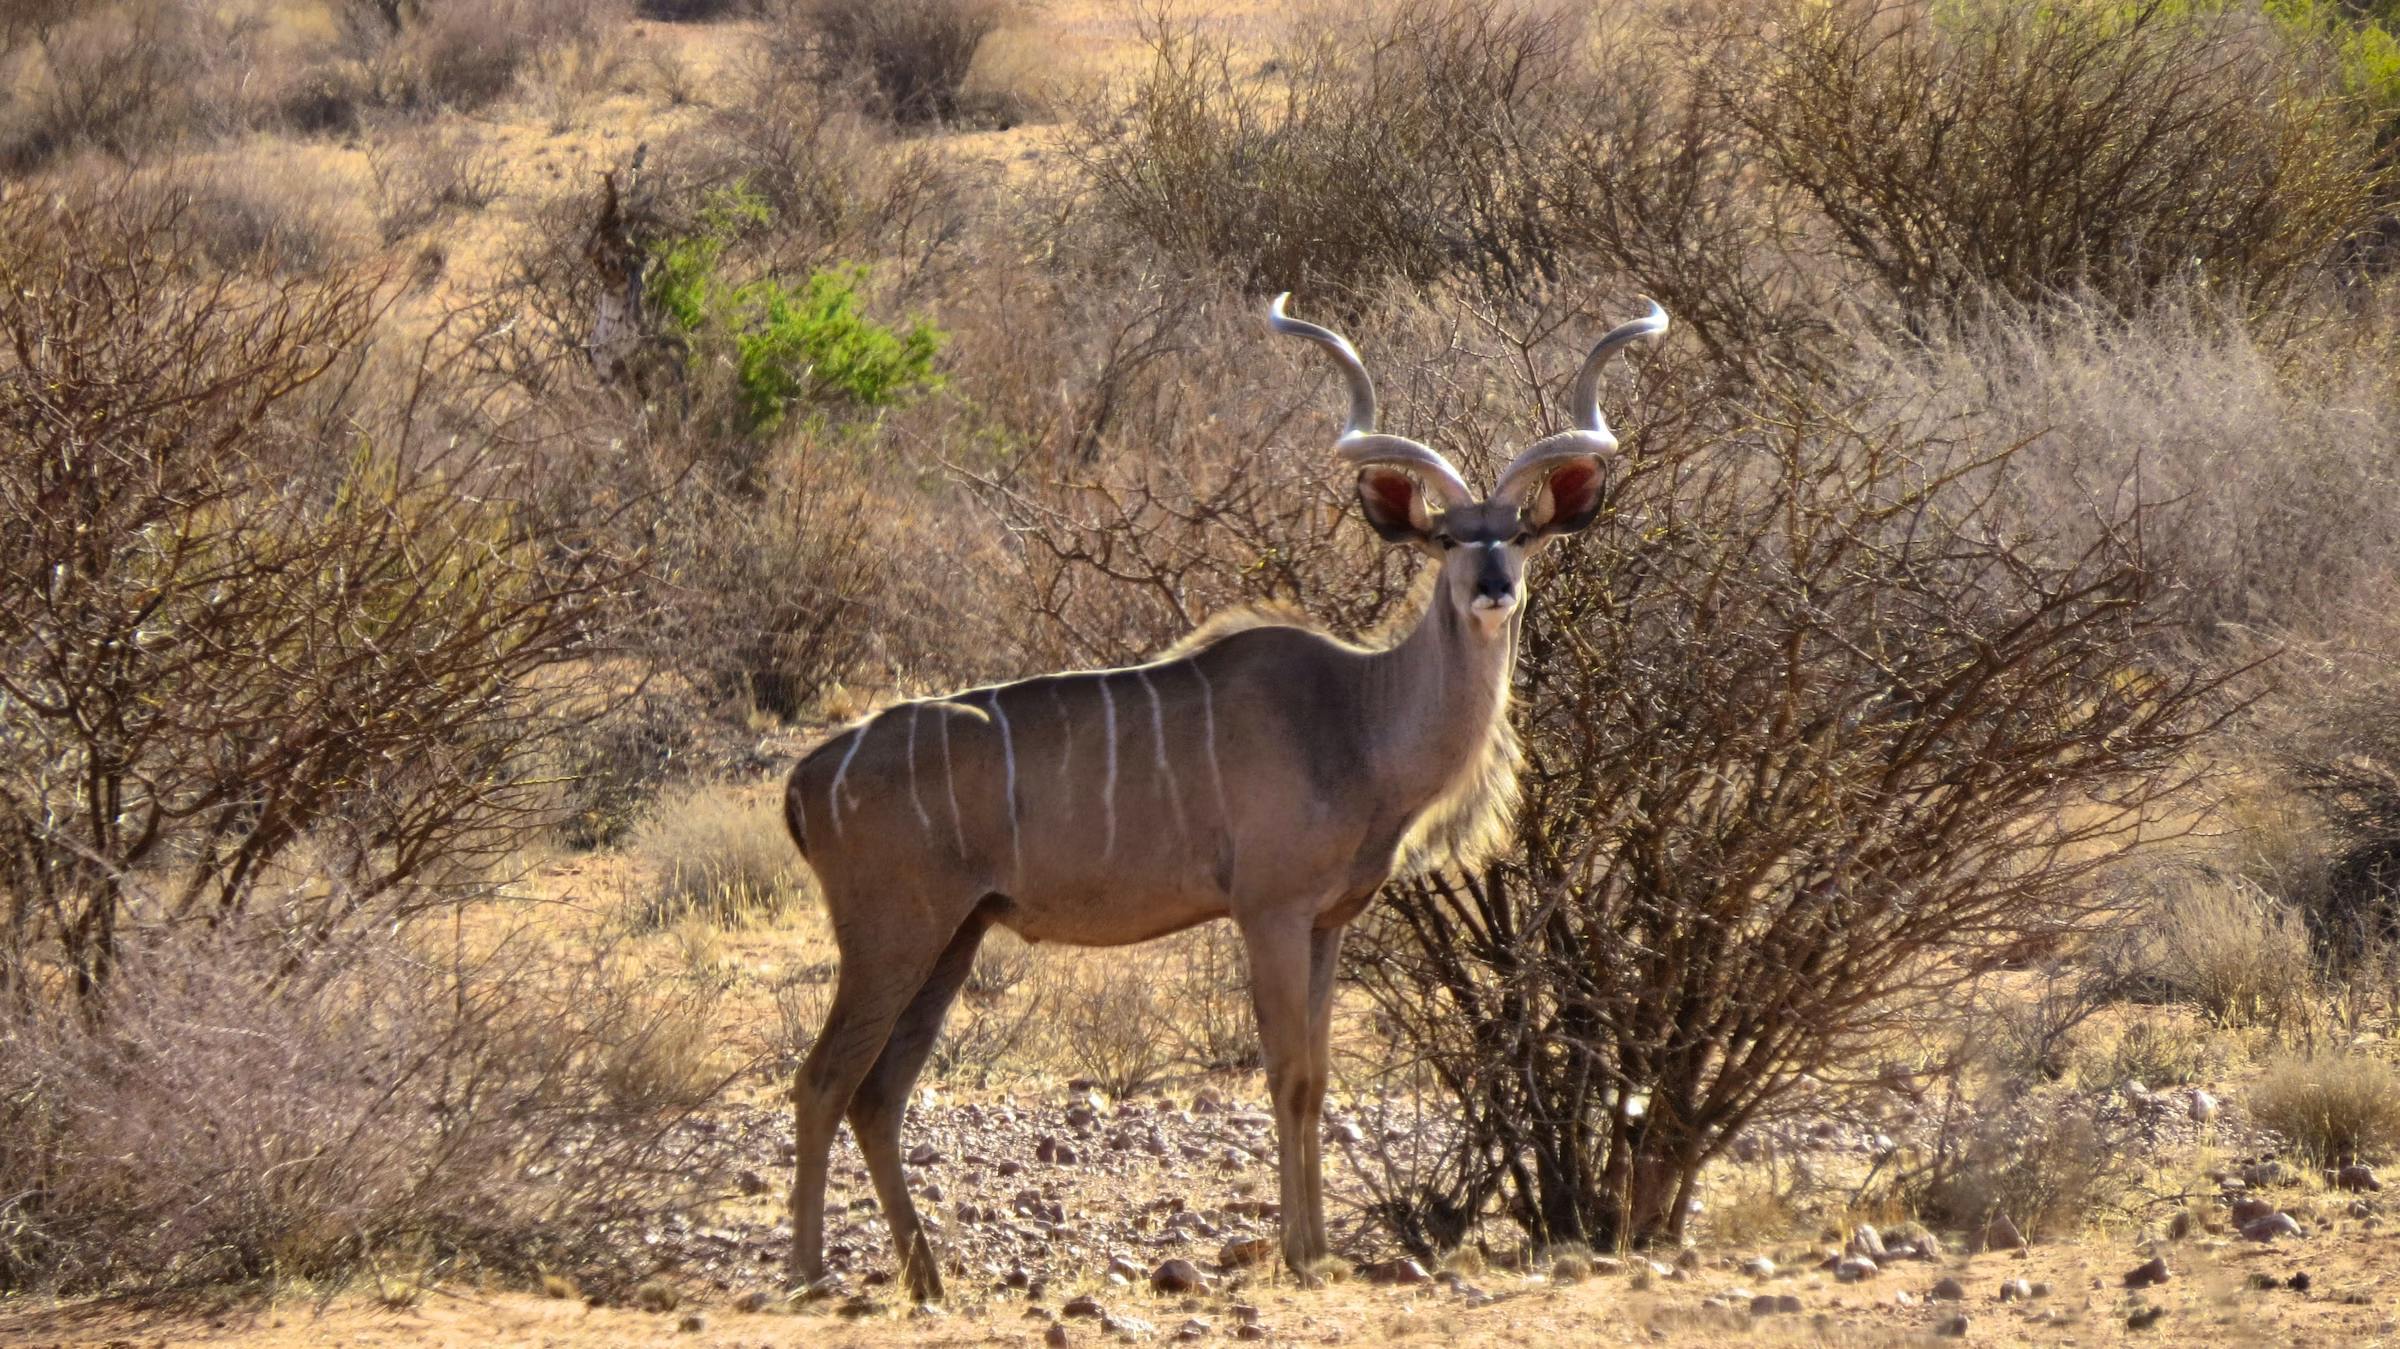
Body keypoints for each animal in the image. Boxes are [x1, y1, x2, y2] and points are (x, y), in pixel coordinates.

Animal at [781, 294, 1669, 1301]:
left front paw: (1317, 1247)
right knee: (823, 1079)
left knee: (879, 1092)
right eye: (1446, 536)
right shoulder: (1269, 911)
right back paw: (811, 1271)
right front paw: (1299, 1250)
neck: (1357, 717)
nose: (1492, 588)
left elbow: (1317, 1075)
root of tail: (808, 778)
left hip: (953, 937)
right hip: (891, 934)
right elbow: (1286, 1074)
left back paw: (928, 1277)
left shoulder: (1326, 922)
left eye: (1521, 532)